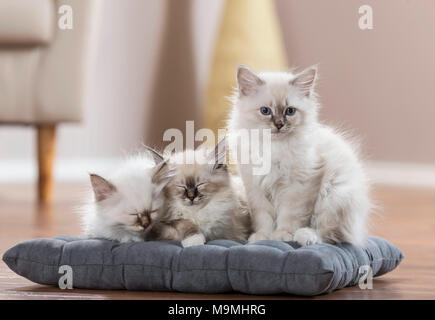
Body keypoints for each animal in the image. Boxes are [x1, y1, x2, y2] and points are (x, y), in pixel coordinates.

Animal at [228, 64, 372, 245]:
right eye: (265, 111)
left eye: (290, 111)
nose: (279, 125)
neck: (274, 148)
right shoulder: (255, 188)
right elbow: (263, 218)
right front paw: (261, 237)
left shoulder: (299, 186)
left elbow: (290, 216)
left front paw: (282, 235)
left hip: (334, 197)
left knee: (330, 234)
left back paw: (305, 236)